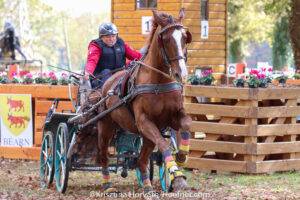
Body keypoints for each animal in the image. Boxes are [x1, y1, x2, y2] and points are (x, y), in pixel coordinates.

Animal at [98, 8, 192, 193]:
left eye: (185, 37)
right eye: (166, 39)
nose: (181, 74)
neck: (158, 82)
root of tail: (108, 82)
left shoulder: (172, 116)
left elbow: (186, 125)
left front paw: (181, 156)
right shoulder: (144, 121)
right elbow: (163, 144)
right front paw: (177, 176)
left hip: (146, 136)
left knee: (141, 159)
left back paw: (147, 185)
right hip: (106, 127)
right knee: (103, 155)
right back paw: (107, 184)